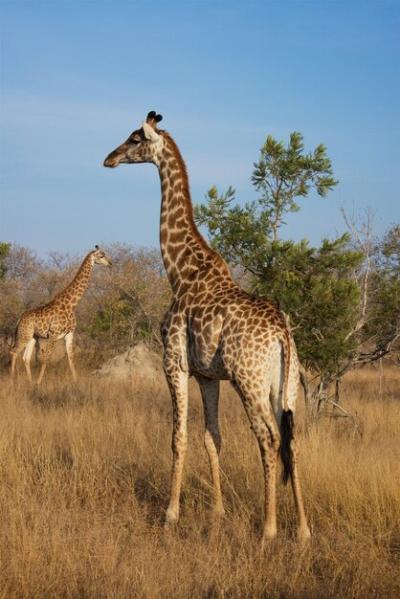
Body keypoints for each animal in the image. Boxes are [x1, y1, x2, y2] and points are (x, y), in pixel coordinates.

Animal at [10, 246, 111, 386]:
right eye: (101, 256)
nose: (110, 263)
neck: (71, 304)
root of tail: (19, 319)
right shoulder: (53, 334)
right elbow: (46, 358)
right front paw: (39, 383)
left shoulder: (69, 334)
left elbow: (71, 357)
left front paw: (76, 381)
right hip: (23, 335)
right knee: (13, 352)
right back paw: (13, 381)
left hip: (32, 337)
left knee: (25, 357)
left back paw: (29, 382)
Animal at [103, 112, 310, 544]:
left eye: (135, 139)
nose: (109, 158)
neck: (179, 270)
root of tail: (282, 334)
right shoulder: (207, 375)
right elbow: (212, 437)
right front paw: (217, 511)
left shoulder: (174, 363)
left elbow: (178, 436)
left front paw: (170, 513)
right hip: (283, 386)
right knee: (292, 440)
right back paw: (302, 529)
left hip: (249, 381)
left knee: (269, 438)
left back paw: (268, 528)